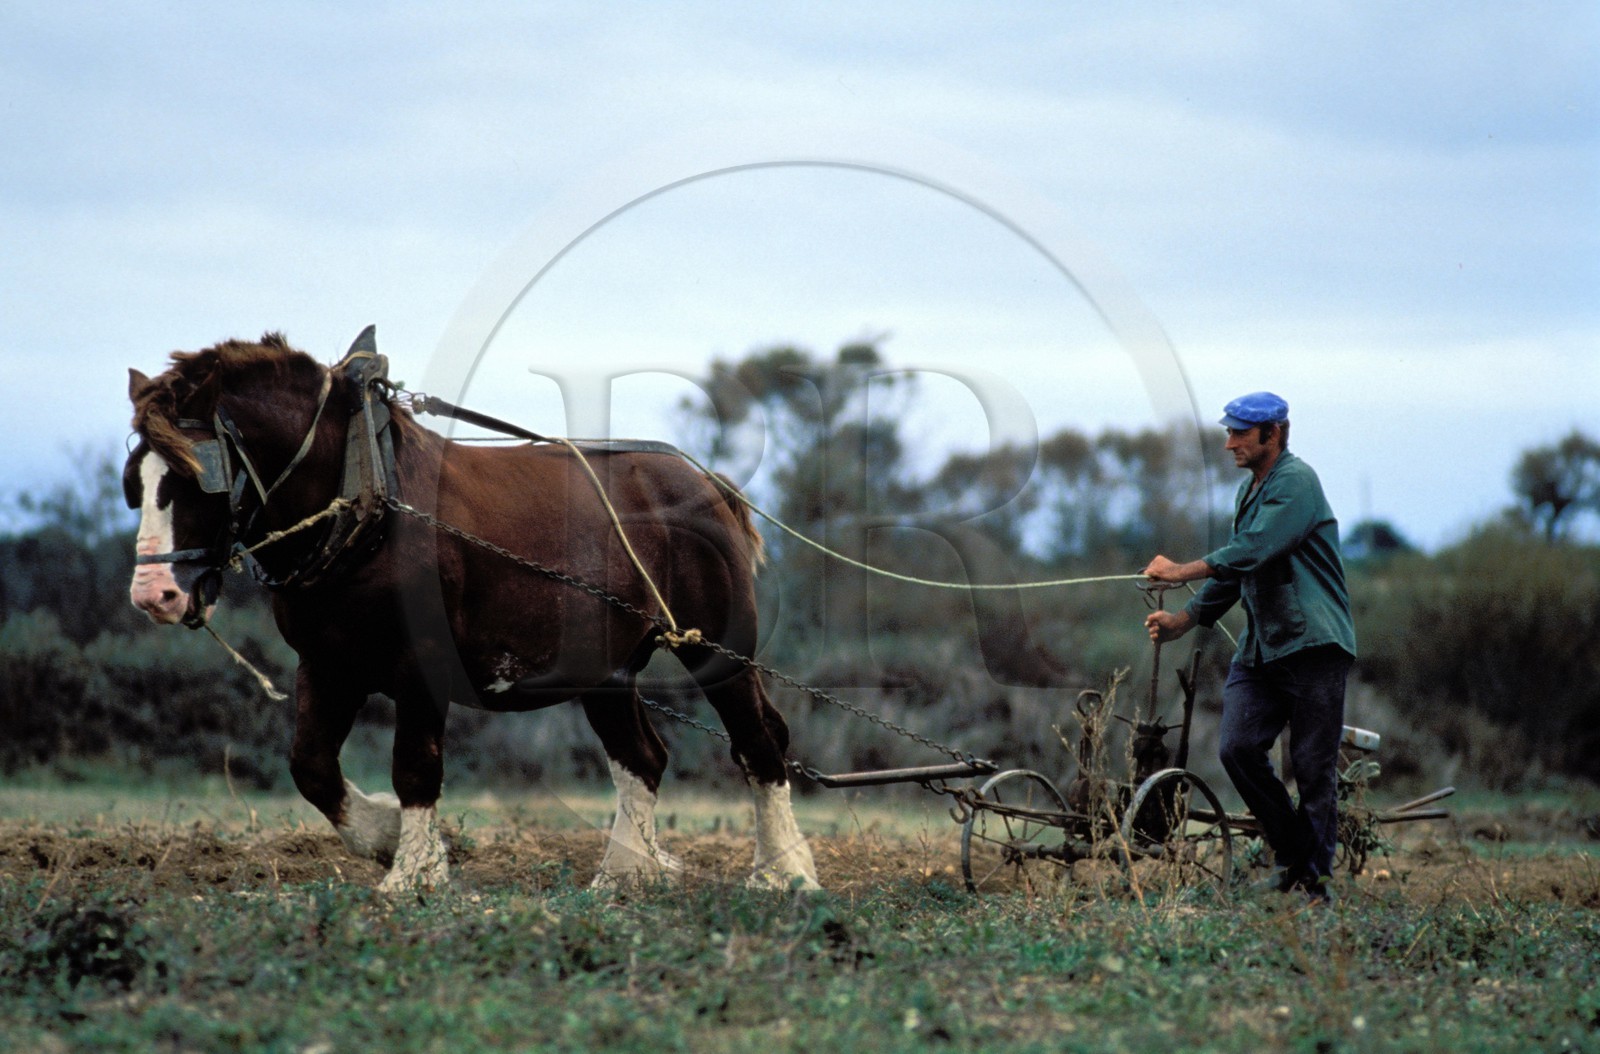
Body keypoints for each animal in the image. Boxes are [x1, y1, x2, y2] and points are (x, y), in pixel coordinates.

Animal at [124, 328, 819, 893]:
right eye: (135, 480)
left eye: (197, 476)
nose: (153, 593)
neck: (365, 493)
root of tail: (710, 484)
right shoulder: (327, 665)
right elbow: (311, 766)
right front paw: (387, 840)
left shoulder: (421, 665)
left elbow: (414, 766)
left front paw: (413, 872)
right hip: (606, 670)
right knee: (642, 759)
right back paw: (623, 875)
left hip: (718, 648)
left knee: (759, 740)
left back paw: (783, 872)